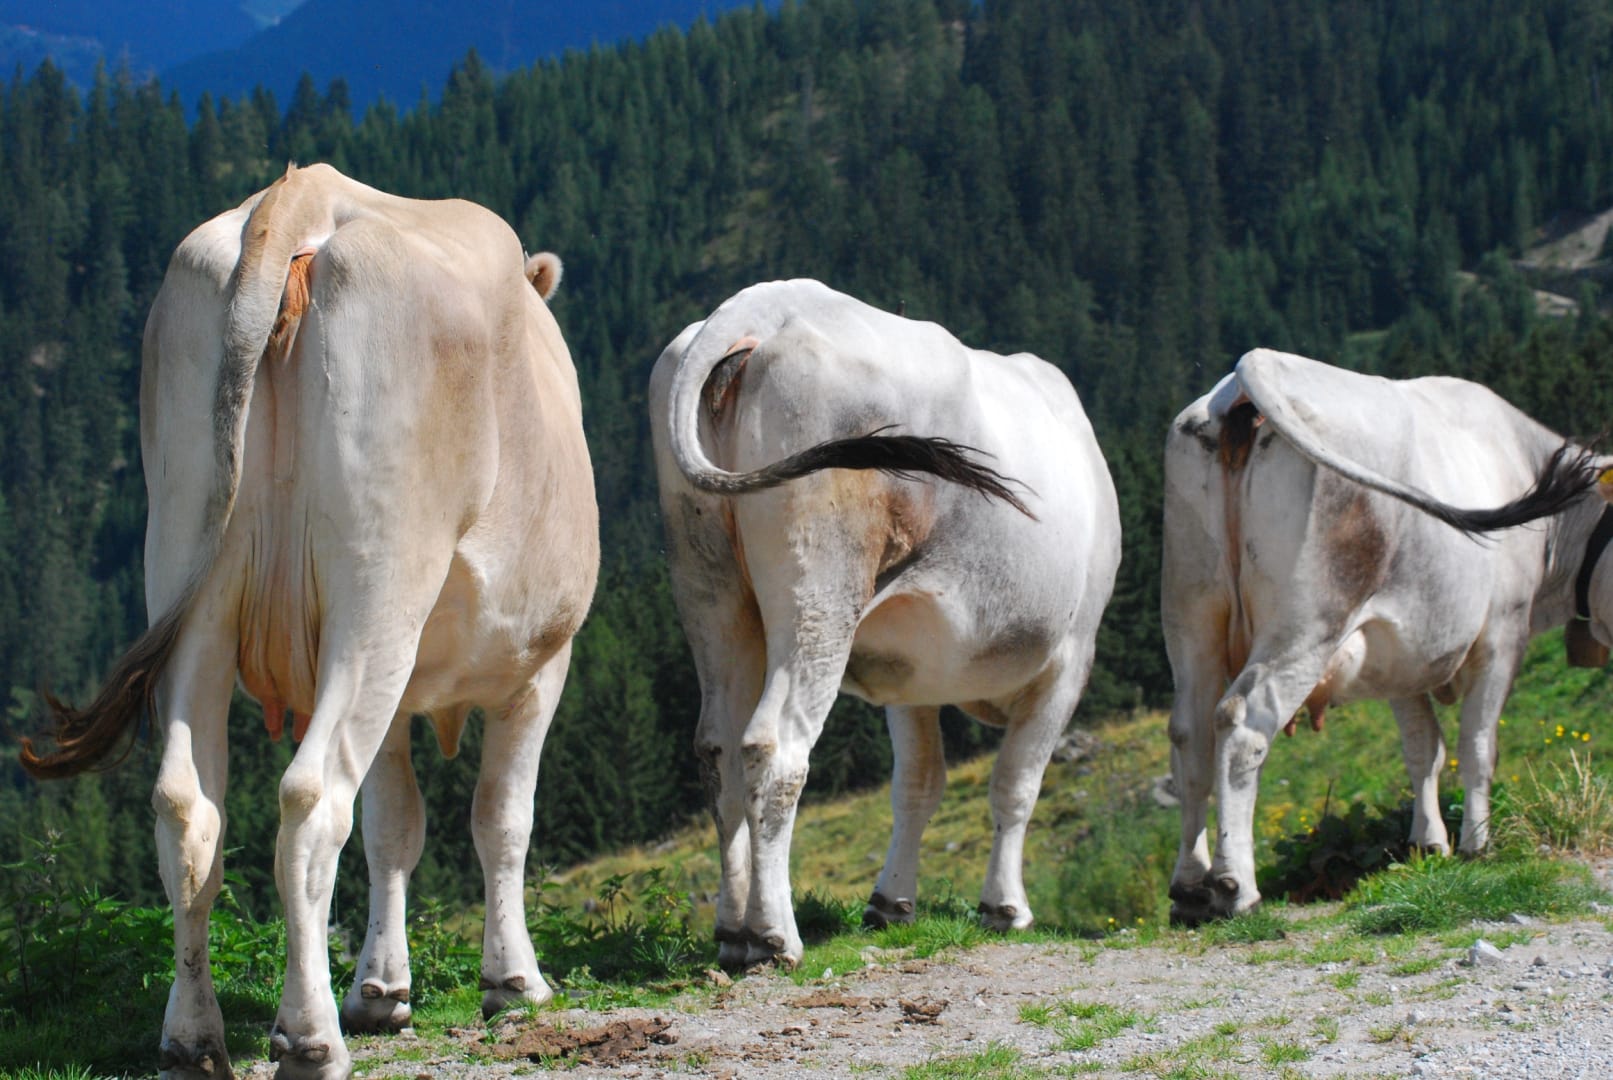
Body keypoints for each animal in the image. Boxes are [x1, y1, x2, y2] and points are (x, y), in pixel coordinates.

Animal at [21, 164, 599, 1080]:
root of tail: (305, 196)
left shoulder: (402, 692)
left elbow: (394, 826)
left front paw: (382, 990)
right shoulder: (543, 663)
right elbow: (498, 820)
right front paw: (512, 983)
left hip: (187, 568)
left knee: (187, 806)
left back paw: (192, 1038)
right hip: (379, 589)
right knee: (311, 798)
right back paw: (309, 1035)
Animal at [650, 279, 1121, 970]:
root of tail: (763, 303)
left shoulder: (911, 674)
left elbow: (918, 784)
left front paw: (891, 902)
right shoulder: (1069, 659)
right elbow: (1015, 785)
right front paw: (1005, 906)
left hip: (708, 585)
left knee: (719, 750)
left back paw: (734, 931)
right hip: (821, 585)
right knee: (774, 747)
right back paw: (775, 934)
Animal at [1163, 347, 1607, 925]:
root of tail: (1252, 370)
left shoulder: (1401, 651)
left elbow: (1424, 748)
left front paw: (1428, 844)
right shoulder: (1503, 635)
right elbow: (1478, 745)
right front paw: (1476, 844)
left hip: (1191, 614)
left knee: (1189, 732)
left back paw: (1190, 887)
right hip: (1308, 621)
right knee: (1240, 724)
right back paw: (1236, 885)